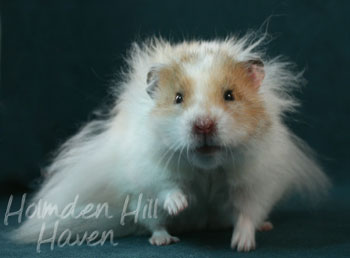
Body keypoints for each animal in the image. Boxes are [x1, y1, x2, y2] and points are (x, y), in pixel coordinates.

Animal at [9, 33, 330, 251]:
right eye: (178, 98)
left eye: (229, 95)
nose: (203, 125)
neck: (207, 165)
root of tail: (201, 223)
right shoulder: (149, 167)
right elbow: (167, 186)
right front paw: (181, 204)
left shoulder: (256, 179)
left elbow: (247, 212)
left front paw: (242, 244)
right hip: (140, 204)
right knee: (153, 223)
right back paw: (164, 239)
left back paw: (264, 225)